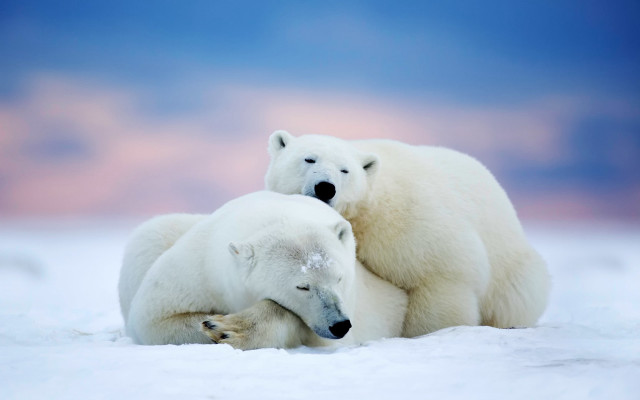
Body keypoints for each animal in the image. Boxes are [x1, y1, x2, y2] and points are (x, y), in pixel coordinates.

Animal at [118, 191, 407, 349]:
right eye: (303, 286)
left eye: (339, 278)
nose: (339, 324)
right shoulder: (199, 268)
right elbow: (155, 318)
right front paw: (215, 325)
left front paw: (228, 328)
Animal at [265, 131, 551, 337]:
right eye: (309, 159)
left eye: (345, 170)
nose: (325, 187)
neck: (369, 210)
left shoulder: (411, 224)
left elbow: (440, 276)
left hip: (511, 269)